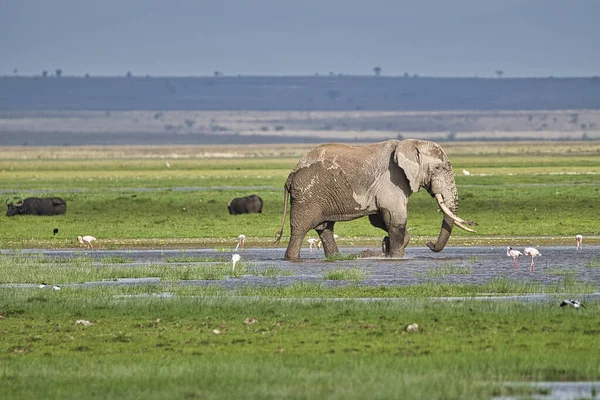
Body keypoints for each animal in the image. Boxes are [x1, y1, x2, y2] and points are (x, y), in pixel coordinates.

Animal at [274, 139, 476, 260]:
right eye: (438, 168)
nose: (430, 244)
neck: (411, 144)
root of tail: (291, 174)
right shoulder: (392, 180)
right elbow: (395, 219)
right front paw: (395, 255)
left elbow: (380, 219)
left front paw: (387, 247)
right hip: (308, 196)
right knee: (300, 229)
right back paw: (291, 258)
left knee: (325, 228)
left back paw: (336, 258)